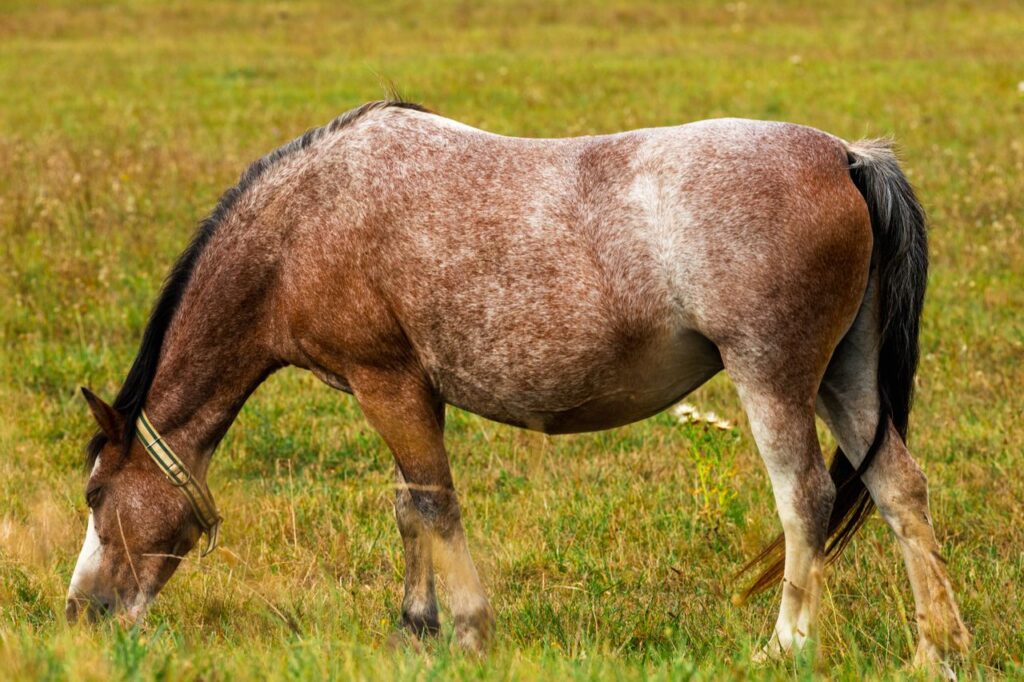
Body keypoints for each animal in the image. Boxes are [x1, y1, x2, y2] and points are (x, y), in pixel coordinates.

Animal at [67, 100, 969, 673]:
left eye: (96, 494)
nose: (82, 614)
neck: (304, 226)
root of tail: (846, 156)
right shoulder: (406, 393)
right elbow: (410, 507)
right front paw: (414, 628)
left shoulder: (387, 382)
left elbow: (434, 504)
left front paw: (466, 631)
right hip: (845, 379)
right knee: (899, 489)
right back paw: (934, 649)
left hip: (772, 376)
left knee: (805, 499)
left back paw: (786, 646)